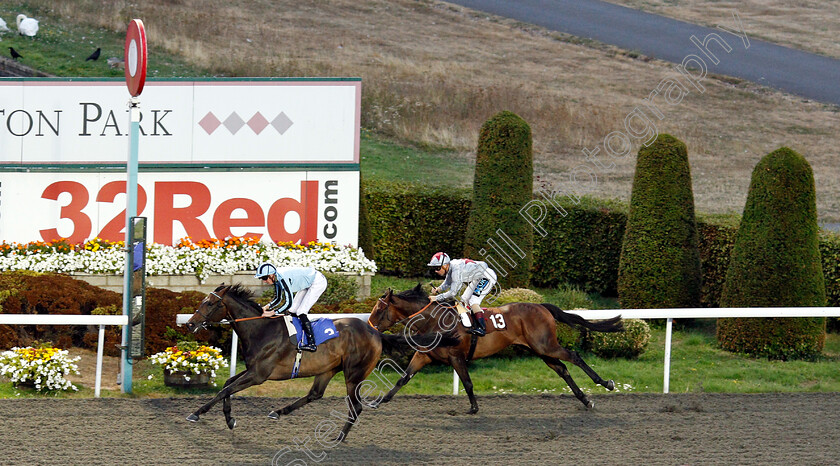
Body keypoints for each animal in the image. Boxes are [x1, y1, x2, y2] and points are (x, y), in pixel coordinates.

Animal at [185, 284, 452, 440]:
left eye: (210, 303)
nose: (189, 323)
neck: (261, 329)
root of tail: (375, 332)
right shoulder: (252, 370)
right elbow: (227, 385)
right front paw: (229, 419)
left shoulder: (259, 374)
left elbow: (226, 389)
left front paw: (197, 414)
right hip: (328, 369)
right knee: (315, 394)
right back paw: (278, 411)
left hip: (353, 374)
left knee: (356, 407)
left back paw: (339, 437)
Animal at [368, 286, 624, 414]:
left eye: (379, 309)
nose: (369, 325)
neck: (434, 320)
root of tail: (541, 306)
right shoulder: (423, 356)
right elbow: (403, 379)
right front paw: (378, 401)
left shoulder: (456, 356)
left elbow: (468, 382)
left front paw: (473, 408)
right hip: (541, 350)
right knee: (562, 369)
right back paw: (586, 400)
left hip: (546, 345)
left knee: (573, 356)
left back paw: (605, 383)